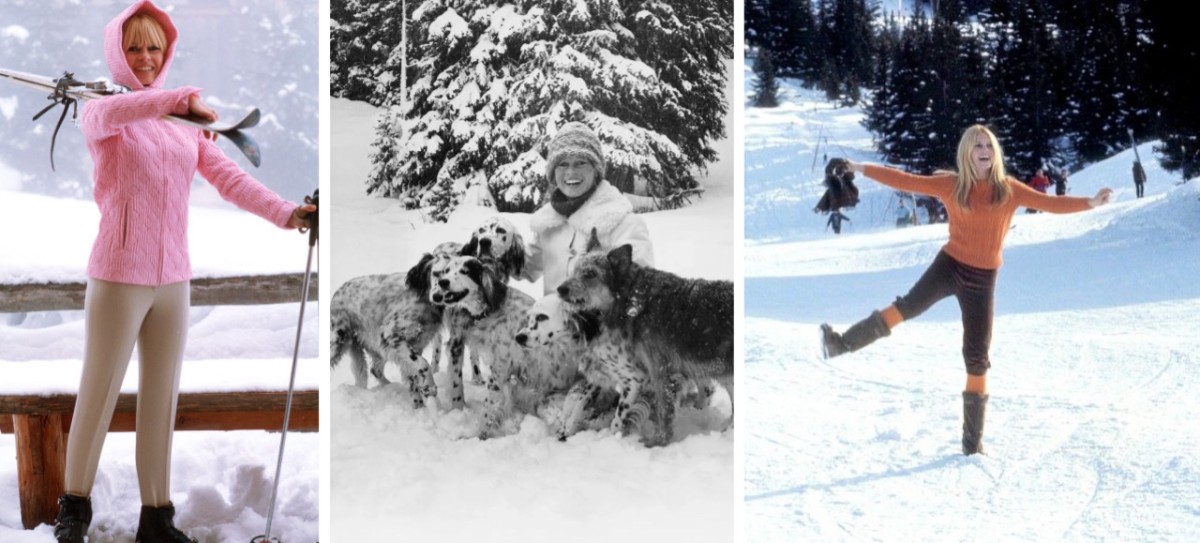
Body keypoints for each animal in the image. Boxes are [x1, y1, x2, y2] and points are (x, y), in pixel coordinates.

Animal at [556, 241, 734, 444]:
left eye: (590, 274)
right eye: (574, 271)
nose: (560, 289)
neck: (633, 301)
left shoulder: (659, 371)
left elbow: (662, 414)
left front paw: (656, 443)